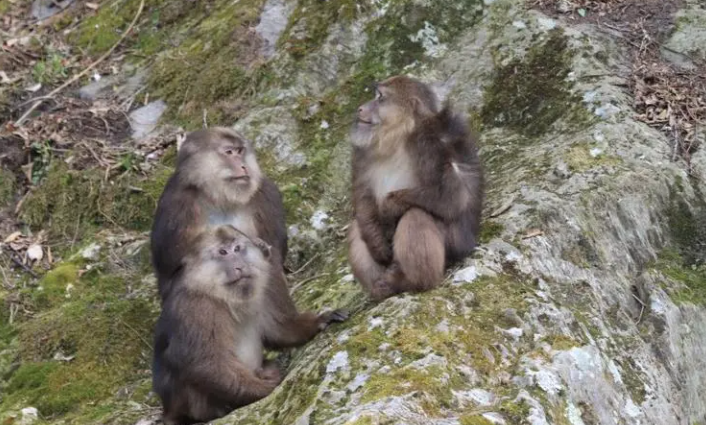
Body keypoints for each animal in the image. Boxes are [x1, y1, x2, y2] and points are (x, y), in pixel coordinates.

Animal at [151, 127, 286, 300]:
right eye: (229, 152)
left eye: (240, 151)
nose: (244, 166)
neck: (219, 197)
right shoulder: (174, 204)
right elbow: (169, 273)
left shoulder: (266, 192)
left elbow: (276, 257)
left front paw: (262, 249)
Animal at [152, 224, 346, 422]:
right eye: (223, 252)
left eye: (237, 248)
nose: (239, 266)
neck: (224, 296)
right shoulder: (196, 308)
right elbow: (200, 361)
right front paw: (269, 387)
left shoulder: (263, 288)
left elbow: (278, 329)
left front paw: (320, 320)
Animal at [348, 76, 484, 300]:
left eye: (380, 97)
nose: (360, 108)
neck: (397, 138)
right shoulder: (361, 153)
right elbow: (363, 197)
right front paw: (377, 243)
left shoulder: (428, 145)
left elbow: (453, 198)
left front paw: (390, 207)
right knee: (356, 227)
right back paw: (381, 289)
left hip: (449, 252)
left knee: (415, 214)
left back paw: (410, 282)